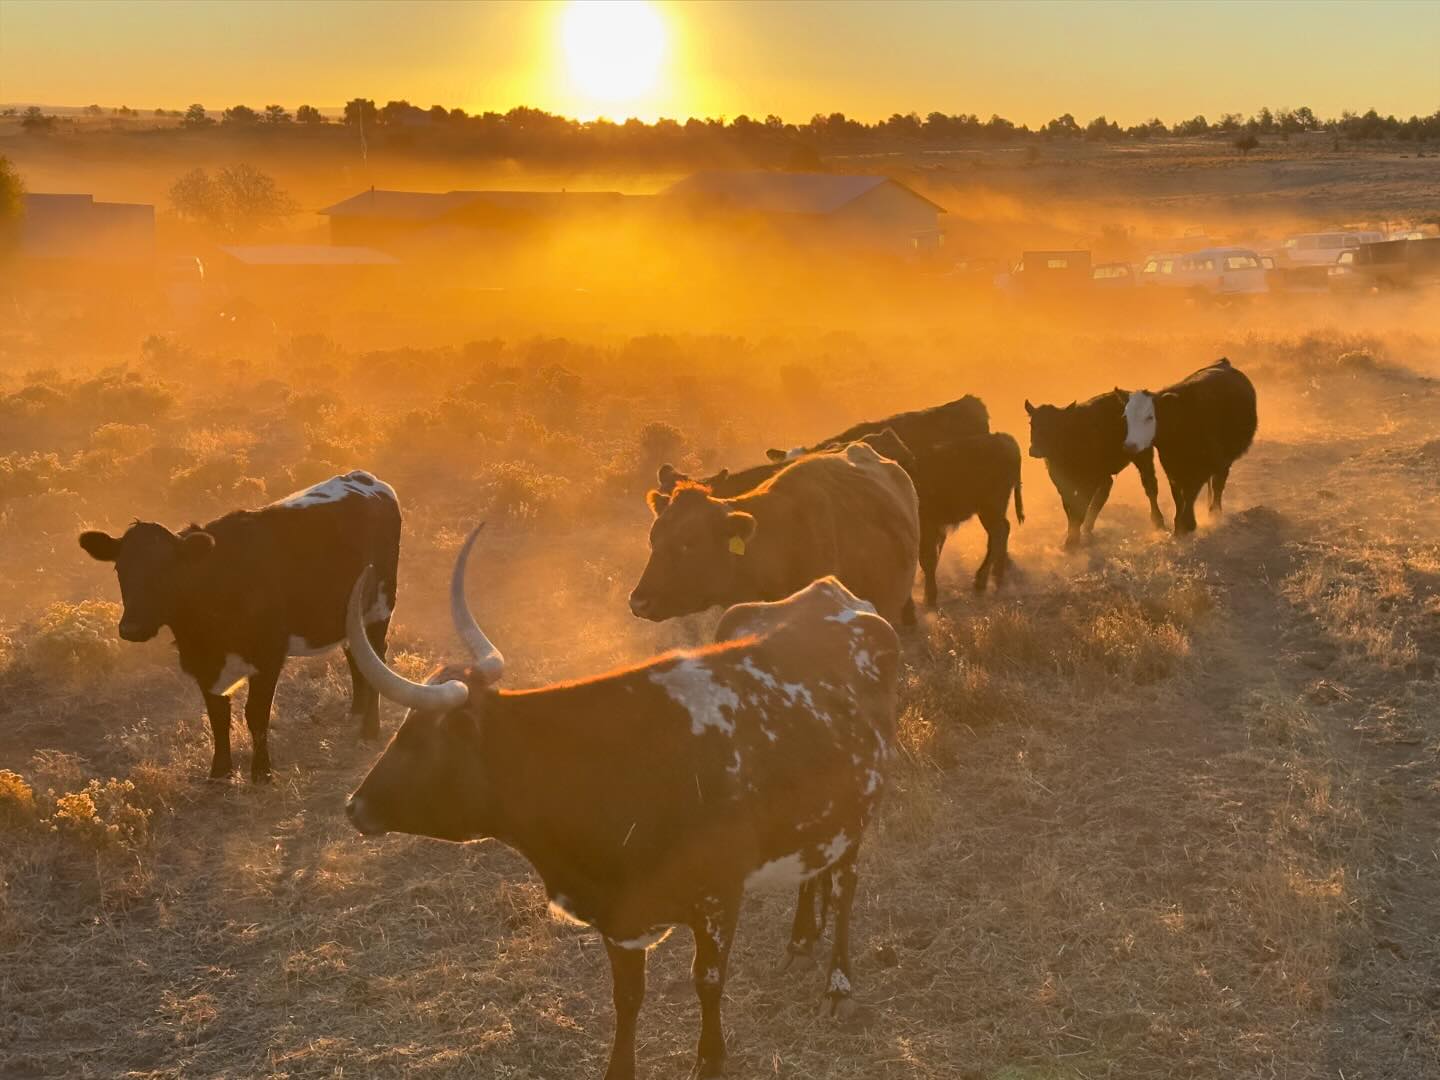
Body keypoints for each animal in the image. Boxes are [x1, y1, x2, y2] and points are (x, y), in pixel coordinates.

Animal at [81, 469, 403, 783]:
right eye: (120, 568)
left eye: (168, 570)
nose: (131, 628)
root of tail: (364, 478)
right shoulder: (203, 665)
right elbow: (218, 715)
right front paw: (220, 771)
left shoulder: (268, 655)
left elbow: (256, 714)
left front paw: (261, 771)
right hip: (346, 616)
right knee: (356, 656)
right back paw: (356, 713)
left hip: (378, 608)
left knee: (377, 656)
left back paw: (369, 729)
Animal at [344, 529, 898, 1080]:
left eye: (416, 741)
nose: (355, 806)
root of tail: (831, 592)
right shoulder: (622, 917)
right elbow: (627, 997)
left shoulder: (718, 899)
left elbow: (708, 980)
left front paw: (710, 1059)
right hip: (820, 814)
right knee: (815, 871)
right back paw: (802, 940)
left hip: (860, 811)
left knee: (845, 888)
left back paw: (838, 984)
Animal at [1025, 388, 1169, 550]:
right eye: (1032, 423)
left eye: (1056, 426)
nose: (1035, 450)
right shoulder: (1061, 482)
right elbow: (1069, 507)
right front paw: (1071, 537)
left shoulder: (1090, 481)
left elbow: (1080, 508)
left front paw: (1072, 541)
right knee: (1106, 489)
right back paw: (1088, 528)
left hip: (1143, 457)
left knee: (1150, 486)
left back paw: (1159, 522)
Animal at [1117, 360, 1255, 538]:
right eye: (1126, 416)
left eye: (1150, 417)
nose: (1130, 446)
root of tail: (1223, 363)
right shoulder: (1171, 465)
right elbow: (1178, 494)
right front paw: (1178, 526)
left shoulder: (1204, 465)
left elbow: (1190, 492)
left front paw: (1188, 524)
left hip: (1225, 459)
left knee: (1218, 484)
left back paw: (1215, 514)